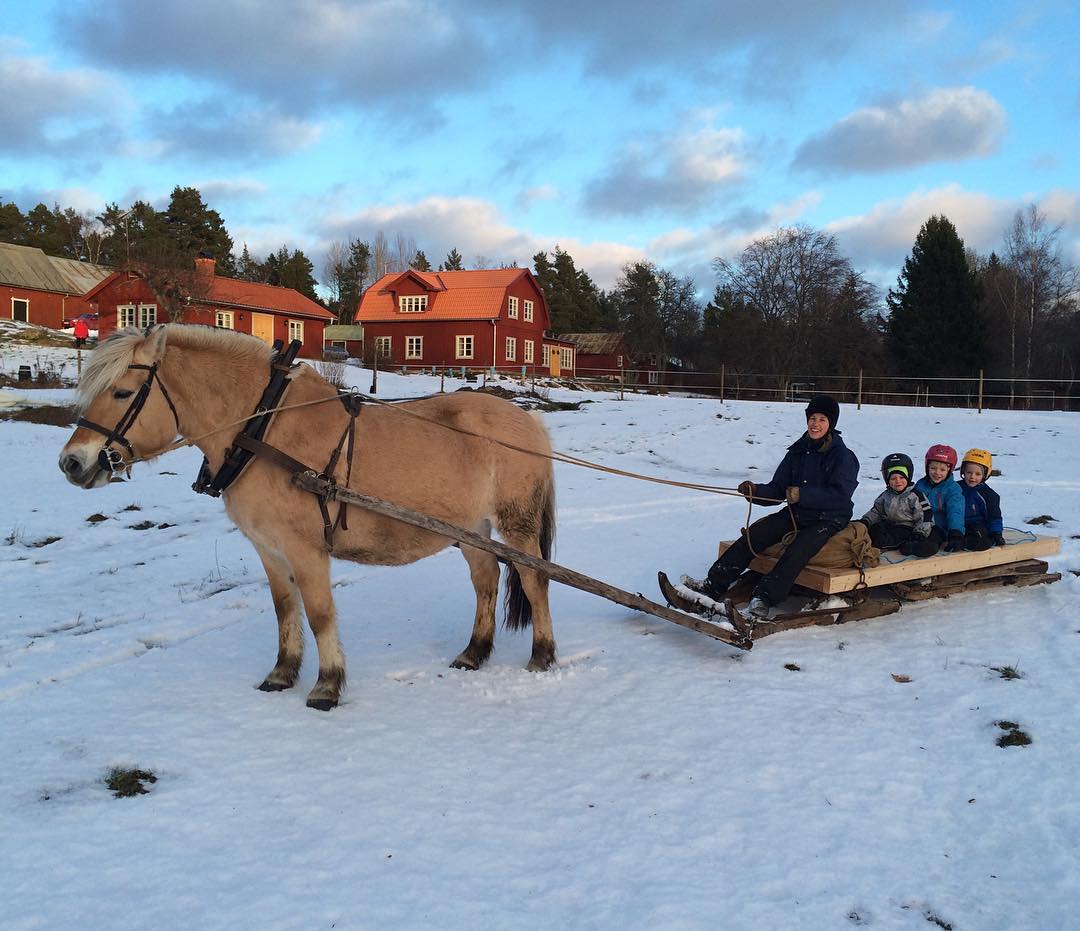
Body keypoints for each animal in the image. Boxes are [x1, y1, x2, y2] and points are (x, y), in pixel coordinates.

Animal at [59, 324, 557, 712]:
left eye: (122, 392)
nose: (71, 463)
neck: (262, 430)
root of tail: (528, 421)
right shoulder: (268, 547)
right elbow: (285, 608)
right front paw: (282, 674)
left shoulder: (306, 549)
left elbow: (319, 614)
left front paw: (326, 686)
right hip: (472, 529)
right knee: (486, 580)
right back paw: (474, 652)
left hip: (516, 523)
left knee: (535, 581)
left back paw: (542, 655)